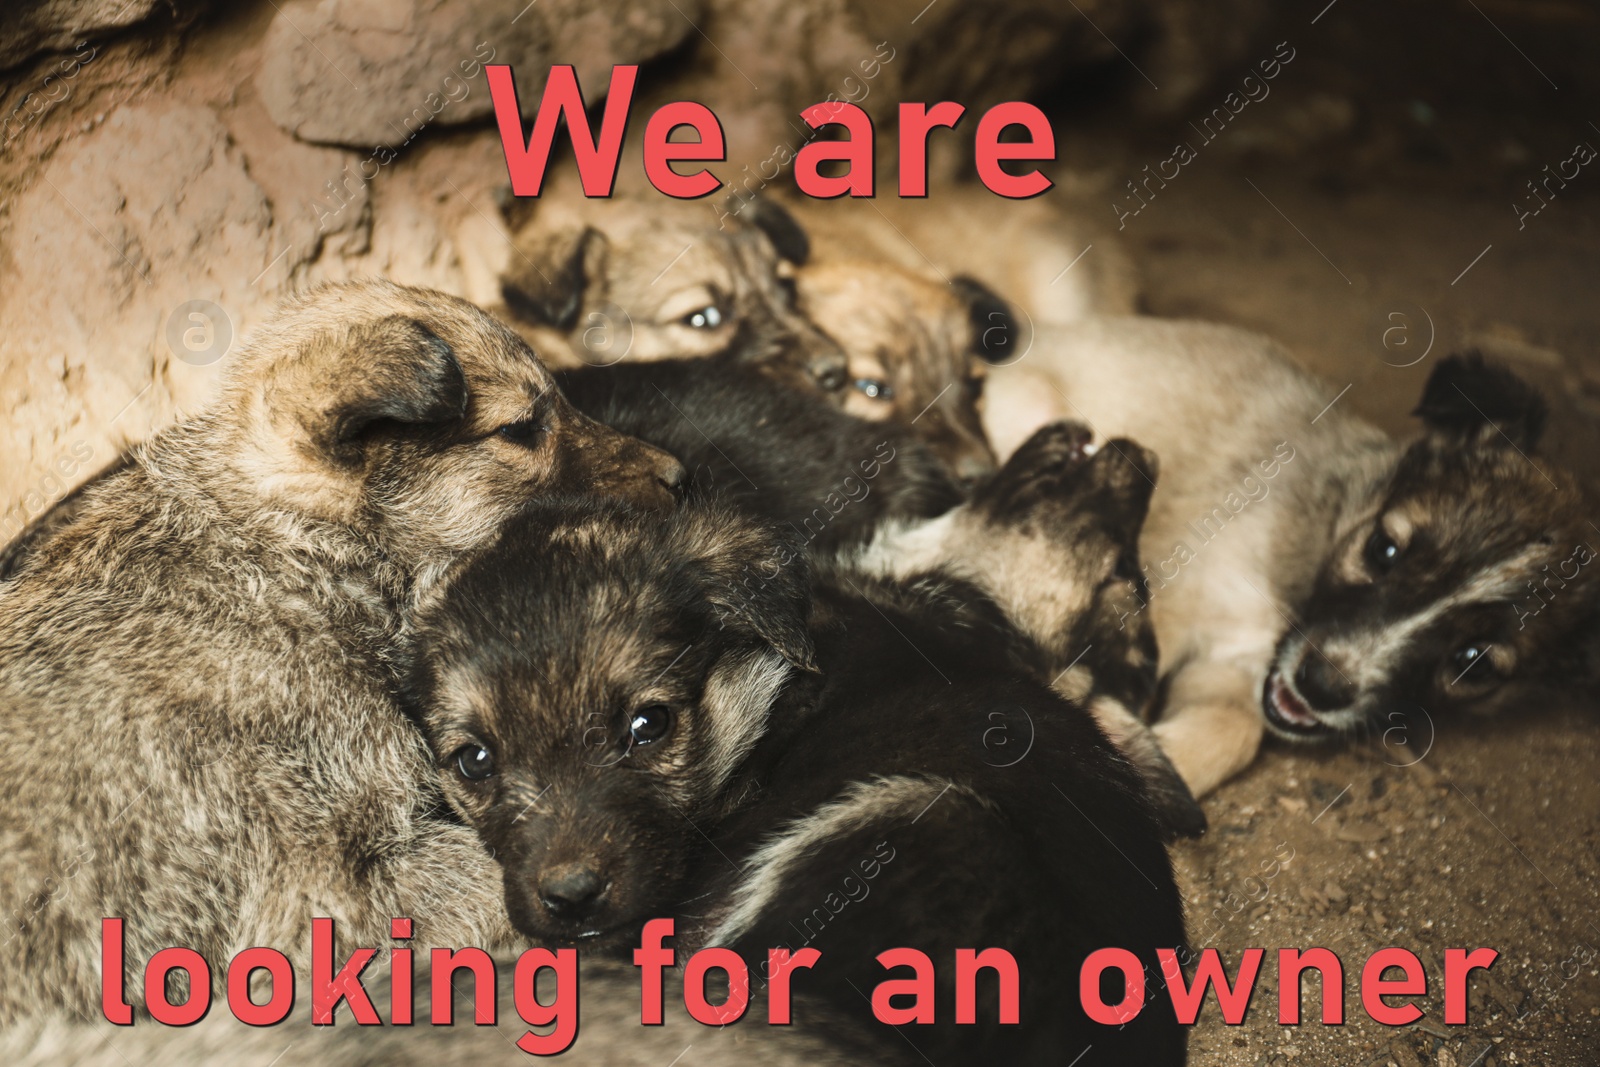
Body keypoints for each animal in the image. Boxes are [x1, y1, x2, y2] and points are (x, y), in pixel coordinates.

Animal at [985, 321, 1600, 796]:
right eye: (1383, 549)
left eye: (1473, 662)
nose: (1321, 686)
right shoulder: (1170, 600)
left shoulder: (1233, 667)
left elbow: (1233, 732)